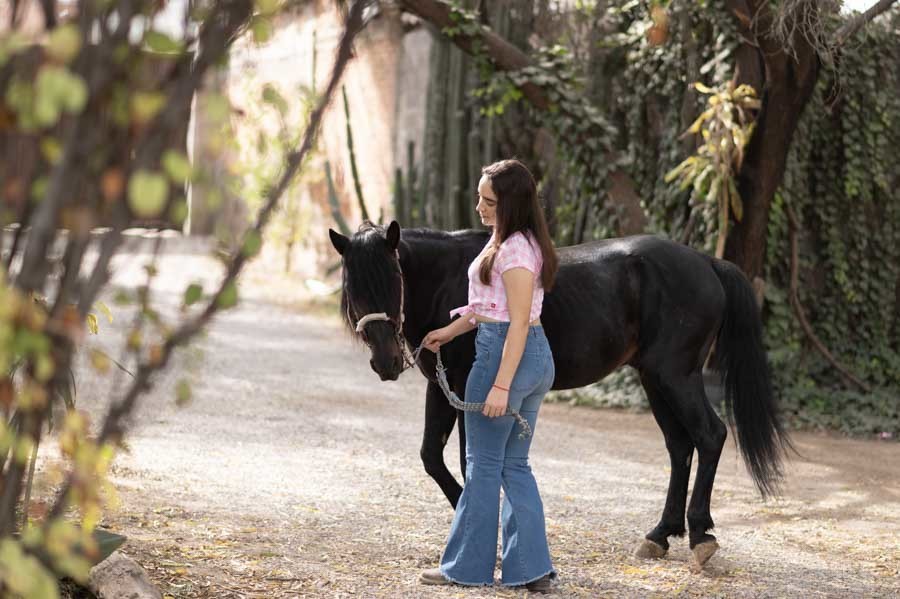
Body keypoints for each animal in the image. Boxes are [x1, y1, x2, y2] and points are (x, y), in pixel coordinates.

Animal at [328, 220, 789, 567]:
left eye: (394, 279)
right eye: (352, 287)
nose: (386, 362)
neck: (449, 281)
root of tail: (708, 262)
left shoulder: (468, 390)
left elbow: (466, 461)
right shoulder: (442, 389)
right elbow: (432, 458)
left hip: (677, 377)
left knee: (710, 437)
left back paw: (700, 537)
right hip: (656, 380)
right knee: (680, 447)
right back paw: (660, 535)